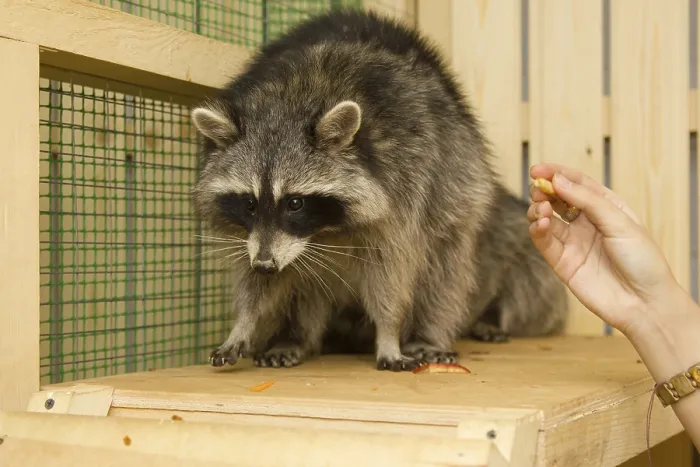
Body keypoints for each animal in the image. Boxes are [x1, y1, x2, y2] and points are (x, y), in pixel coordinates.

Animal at [190, 9, 568, 371]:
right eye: (249, 204)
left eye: (294, 203)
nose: (266, 265)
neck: (290, 101)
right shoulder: (256, 235)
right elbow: (262, 279)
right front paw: (245, 321)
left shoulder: (405, 186)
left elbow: (391, 270)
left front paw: (389, 331)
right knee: (305, 283)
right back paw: (291, 337)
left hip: (457, 179)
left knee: (445, 264)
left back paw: (429, 332)